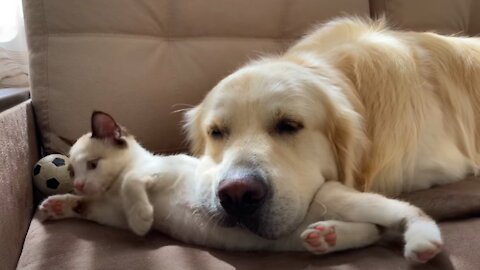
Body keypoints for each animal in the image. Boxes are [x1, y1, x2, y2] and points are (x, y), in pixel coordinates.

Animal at [37, 110, 442, 262]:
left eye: (92, 164)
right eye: (71, 170)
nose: (82, 183)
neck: (110, 191)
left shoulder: (161, 173)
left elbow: (134, 184)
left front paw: (142, 220)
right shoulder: (104, 213)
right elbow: (84, 207)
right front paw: (56, 205)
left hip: (351, 203)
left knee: (406, 213)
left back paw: (423, 244)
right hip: (295, 237)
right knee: (371, 231)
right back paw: (324, 237)